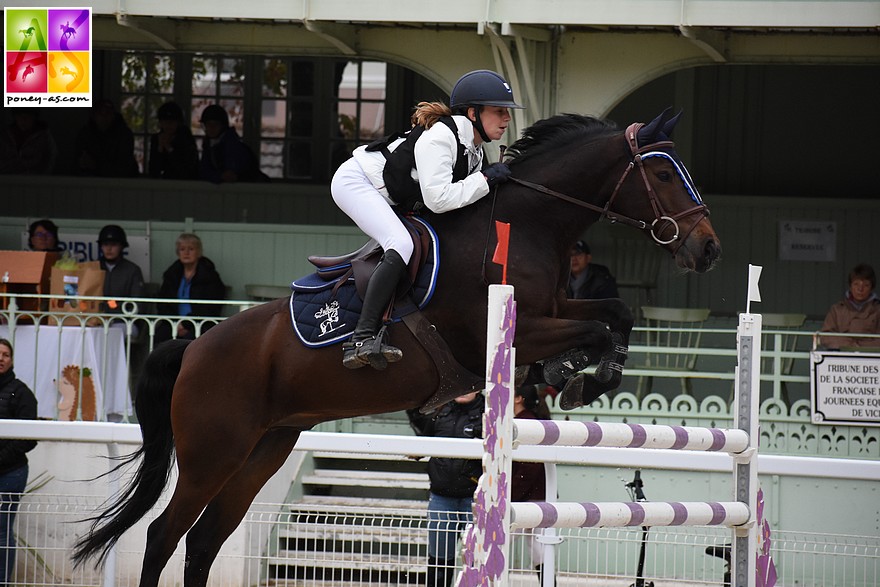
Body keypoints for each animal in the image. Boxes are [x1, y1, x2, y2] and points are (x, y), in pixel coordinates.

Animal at [72, 108, 720, 584]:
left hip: (265, 449)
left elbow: (615, 315)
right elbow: (596, 329)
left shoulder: (558, 308)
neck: (528, 222)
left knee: (205, 539)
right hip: (214, 451)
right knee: (164, 535)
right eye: (664, 175)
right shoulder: (512, 325)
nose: (709, 249)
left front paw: (580, 375)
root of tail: (194, 350)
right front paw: (583, 375)